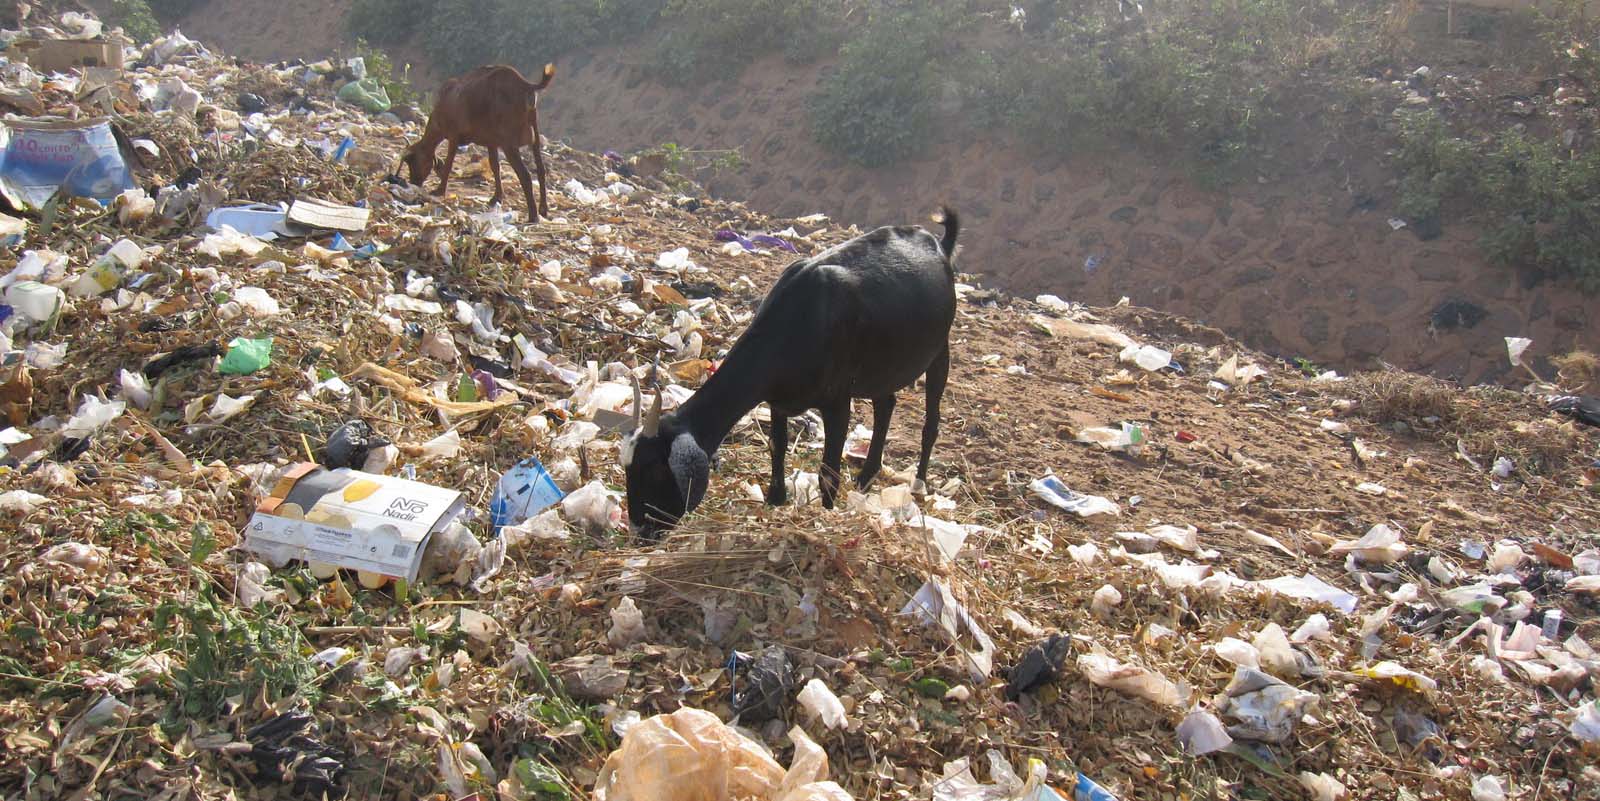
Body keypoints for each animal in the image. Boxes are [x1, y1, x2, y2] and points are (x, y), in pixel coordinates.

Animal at [403, 62, 560, 222]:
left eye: (413, 161)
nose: (414, 182)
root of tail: (526, 85)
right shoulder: (491, 141)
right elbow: (495, 166)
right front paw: (496, 197)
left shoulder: (454, 136)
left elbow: (448, 163)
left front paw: (439, 190)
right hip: (534, 136)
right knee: (541, 170)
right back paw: (543, 209)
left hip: (509, 144)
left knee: (525, 175)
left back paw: (533, 216)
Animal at [617, 206, 953, 537]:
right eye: (628, 469)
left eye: (654, 471)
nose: (639, 530)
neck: (801, 320)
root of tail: (937, 244)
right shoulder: (777, 400)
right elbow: (776, 449)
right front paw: (775, 500)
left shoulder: (837, 401)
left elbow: (828, 471)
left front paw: (825, 518)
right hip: (885, 367)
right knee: (886, 405)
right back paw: (867, 476)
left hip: (940, 349)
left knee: (930, 421)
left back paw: (919, 482)